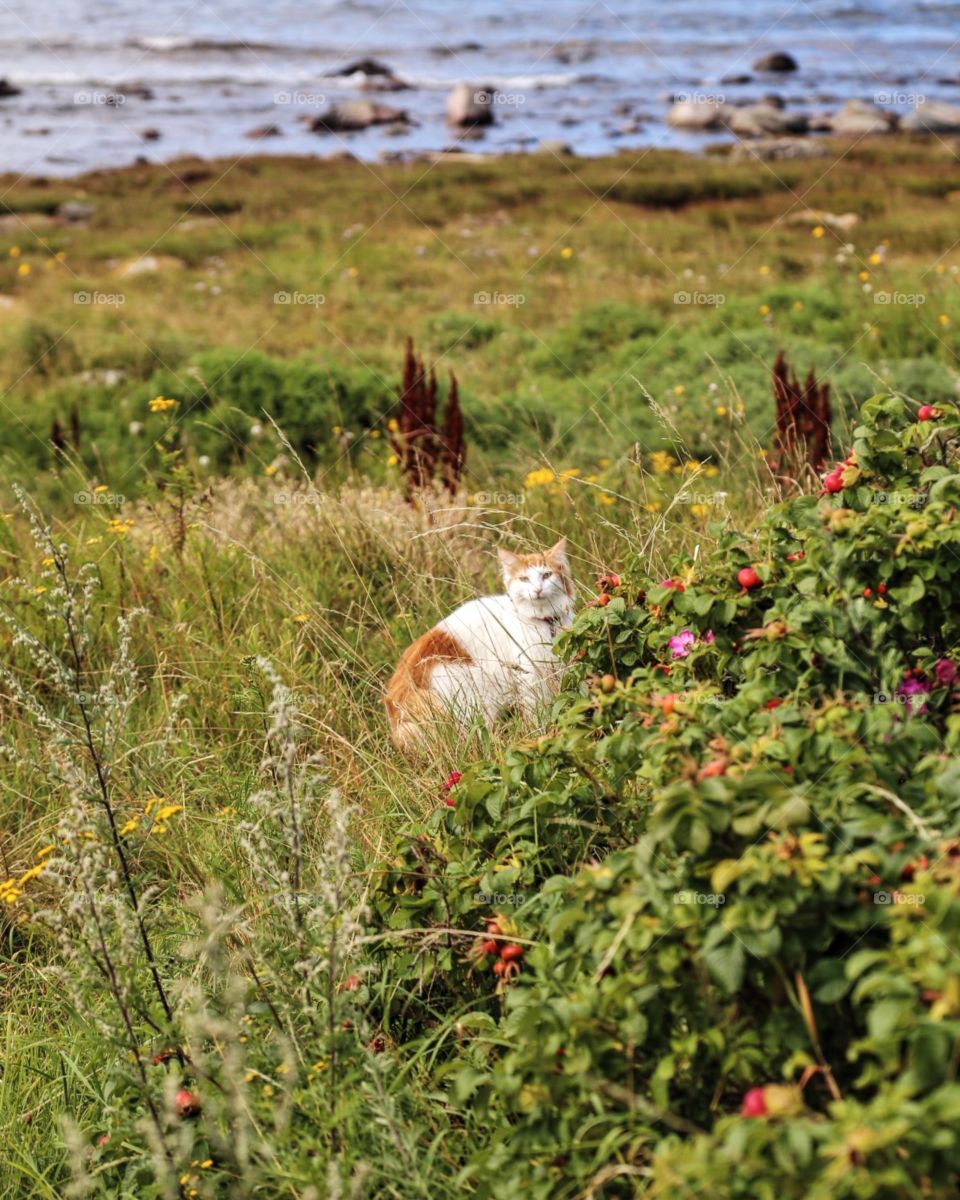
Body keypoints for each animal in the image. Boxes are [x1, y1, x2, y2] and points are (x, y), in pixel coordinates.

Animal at [384, 540, 578, 753]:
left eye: (547, 575)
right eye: (524, 579)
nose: (537, 590)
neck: (546, 622)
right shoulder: (530, 676)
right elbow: (538, 713)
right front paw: (540, 734)